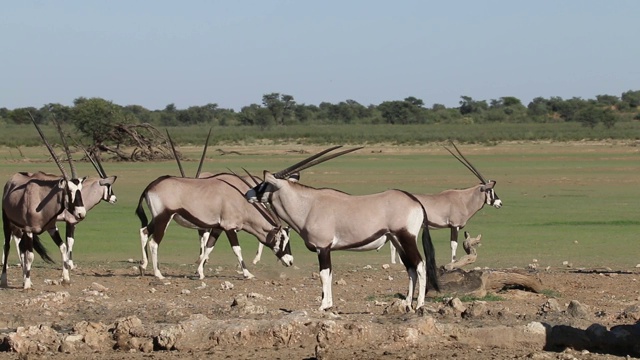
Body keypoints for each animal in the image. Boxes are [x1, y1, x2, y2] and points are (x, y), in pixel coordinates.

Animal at [1, 116, 87, 288]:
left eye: (80, 189)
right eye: (69, 190)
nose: (81, 213)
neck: (43, 199)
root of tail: (11, 181)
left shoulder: (51, 227)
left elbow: (63, 248)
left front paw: (65, 278)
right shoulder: (29, 230)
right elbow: (30, 256)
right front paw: (27, 284)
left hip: (20, 229)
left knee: (21, 249)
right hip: (8, 223)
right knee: (7, 246)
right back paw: (5, 280)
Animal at [245, 146, 440, 312]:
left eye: (264, 184)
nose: (248, 194)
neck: (307, 205)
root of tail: (415, 202)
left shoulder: (322, 247)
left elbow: (324, 274)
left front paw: (323, 305)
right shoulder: (327, 249)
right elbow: (330, 274)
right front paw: (329, 304)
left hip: (406, 238)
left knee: (420, 265)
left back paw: (419, 305)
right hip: (397, 241)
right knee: (410, 268)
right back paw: (407, 303)